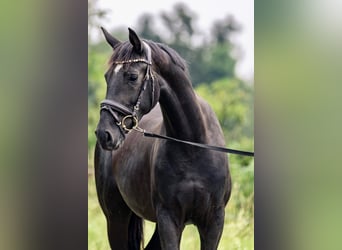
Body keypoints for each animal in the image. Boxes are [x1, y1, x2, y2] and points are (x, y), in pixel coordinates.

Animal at [95, 27, 231, 250]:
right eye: (107, 77)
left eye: (132, 76)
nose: (104, 134)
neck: (193, 146)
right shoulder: (168, 219)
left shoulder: (213, 222)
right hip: (116, 218)